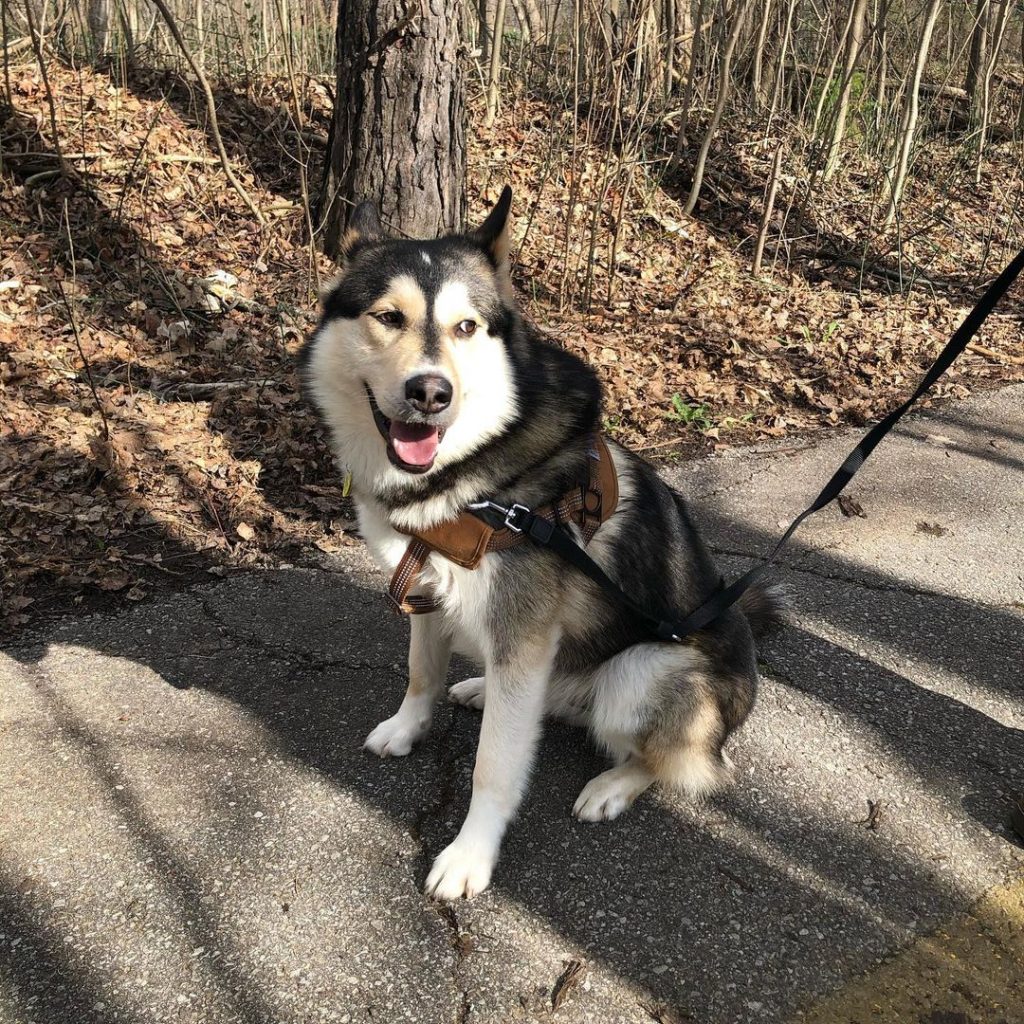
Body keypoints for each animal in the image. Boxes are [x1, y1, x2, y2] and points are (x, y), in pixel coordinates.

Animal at [299, 188, 778, 901]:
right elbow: (421, 671)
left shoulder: (522, 635)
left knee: (682, 763)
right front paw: (409, 726)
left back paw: (613, 784)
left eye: (467, 328)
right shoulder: (429, 588)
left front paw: (470, 854)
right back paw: (480, 689)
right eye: (387, 317)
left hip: (641, 673)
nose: (430, 392)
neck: (472, 468)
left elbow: (494, 765)